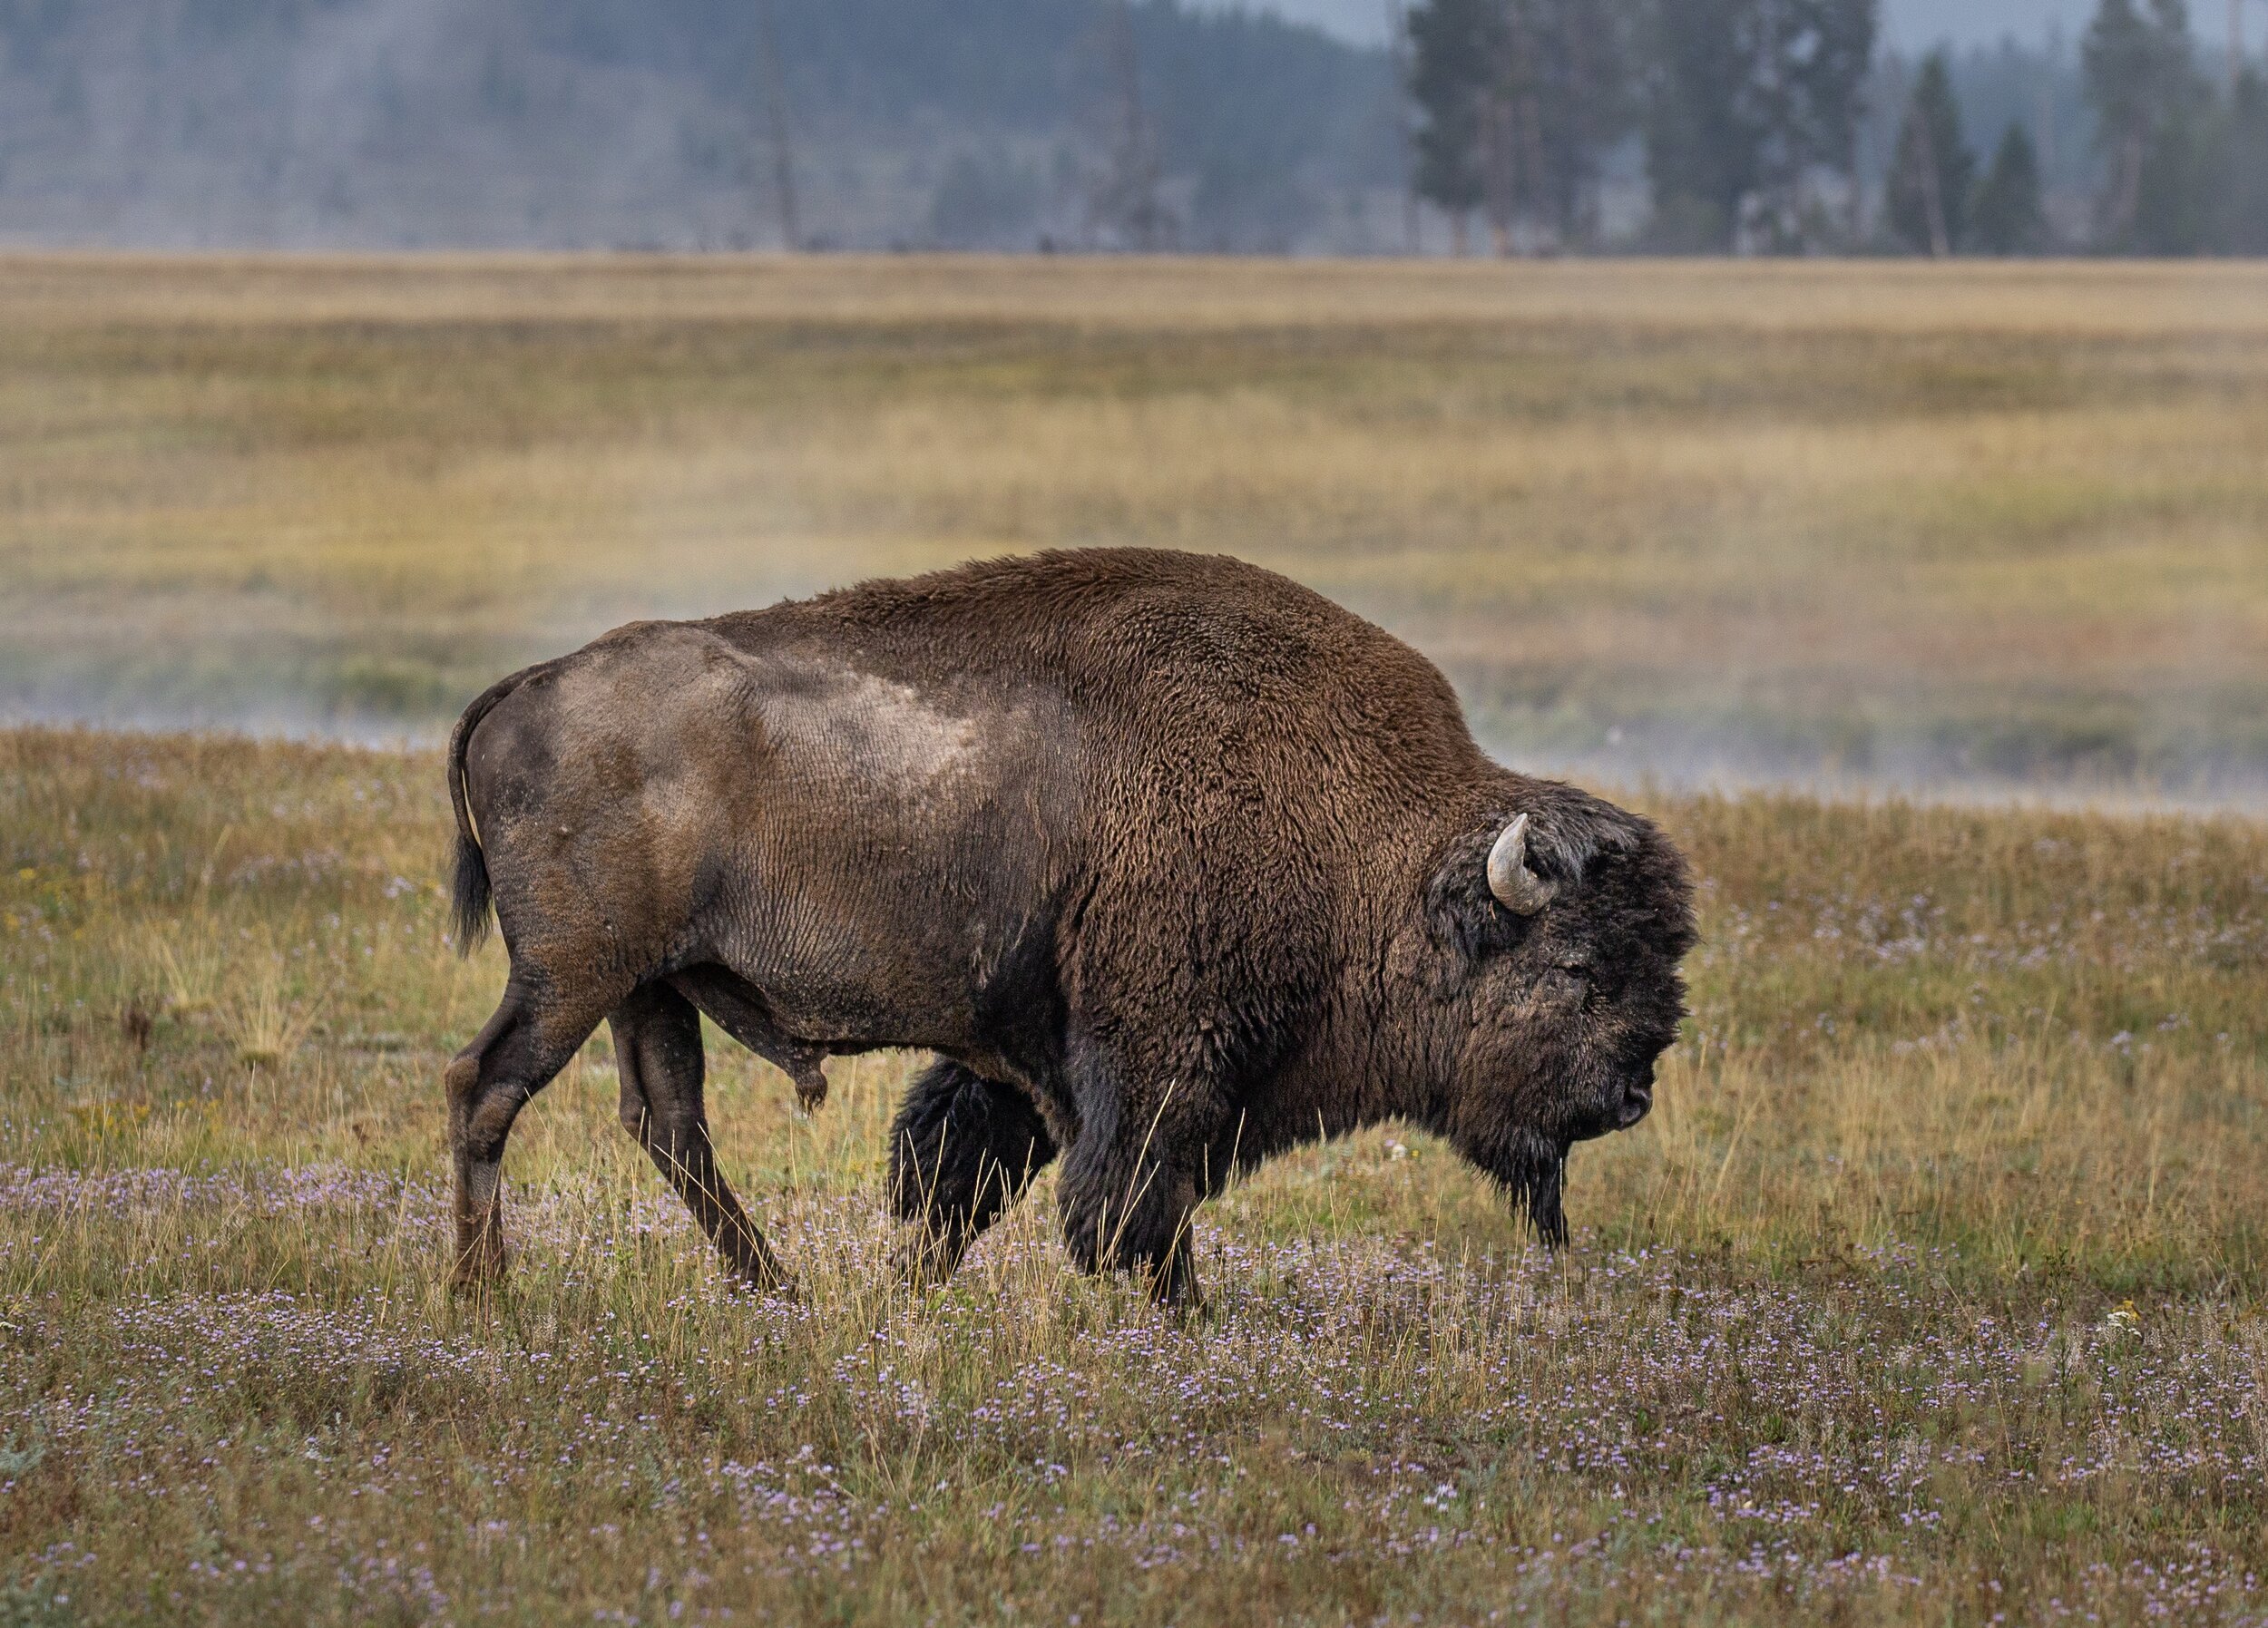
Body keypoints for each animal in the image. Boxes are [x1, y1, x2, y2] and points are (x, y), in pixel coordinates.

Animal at [437, 555, 1687, 1306]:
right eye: (1576, 965)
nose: (1630, 1094)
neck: (1369, 840)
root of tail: (528, 684)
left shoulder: (1026, 1056)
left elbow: (959, 1176)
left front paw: (911, 1294)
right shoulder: (1153, 1065)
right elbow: (1133, 1205)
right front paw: (1181, 1318)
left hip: (650, 985)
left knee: (668, 1124)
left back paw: (777, 1291)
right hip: (572, 976)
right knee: (486, 1088)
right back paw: (486, 1293)